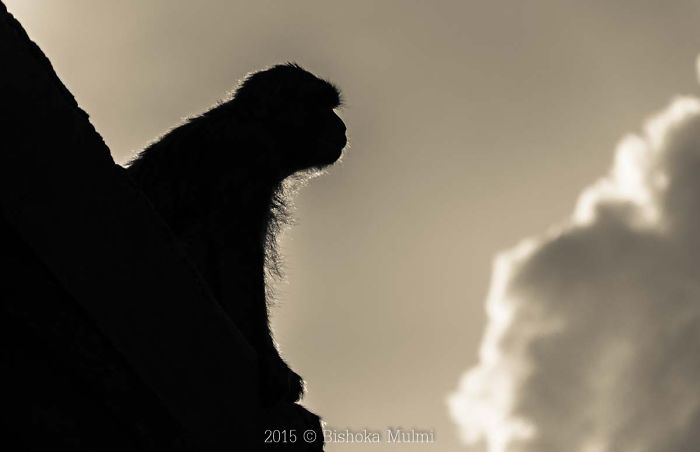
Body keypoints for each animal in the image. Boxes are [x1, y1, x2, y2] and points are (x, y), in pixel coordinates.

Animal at [125, 63, 346, 449]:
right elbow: (235, 251)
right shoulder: (250, 155)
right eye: (322, 106)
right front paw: (273, 364)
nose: (342, 126)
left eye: (332, 106)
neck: (255, 122)